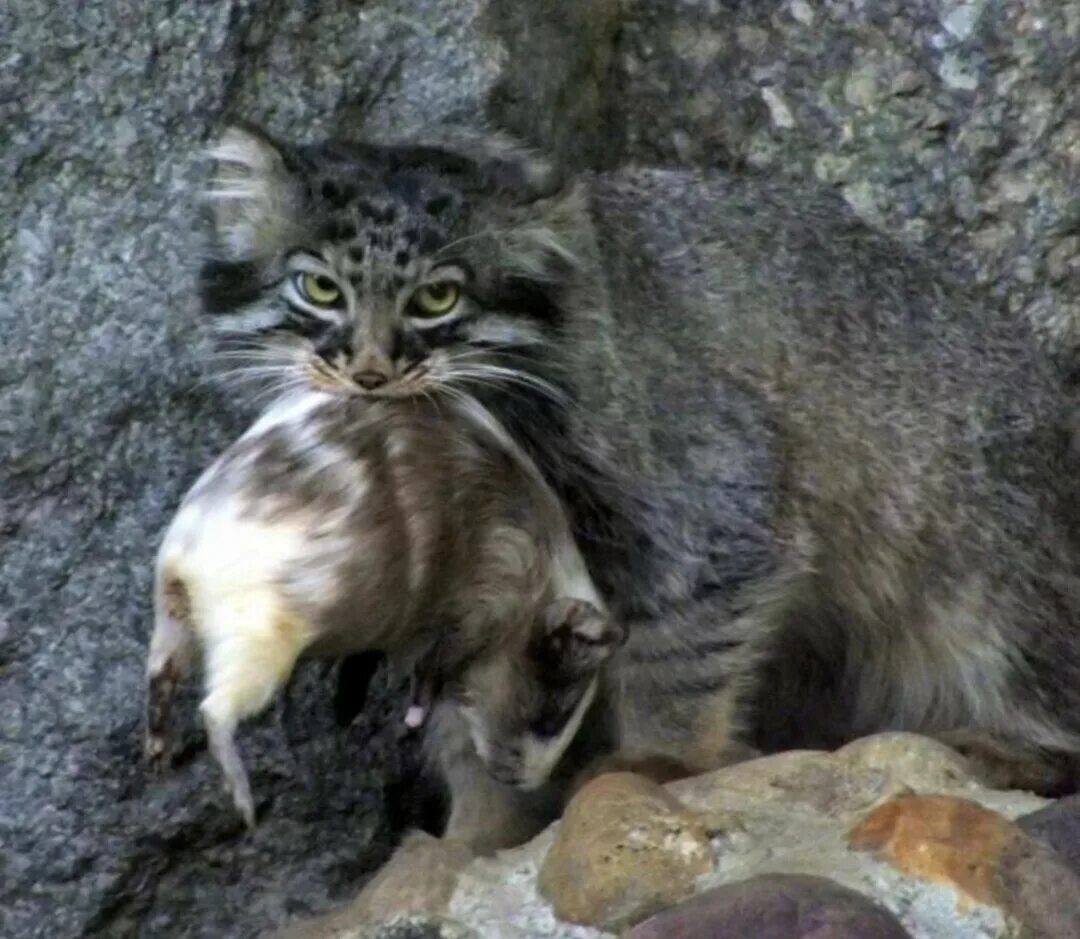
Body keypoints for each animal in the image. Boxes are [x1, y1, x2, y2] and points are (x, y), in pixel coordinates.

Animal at [193, 122, 1080, 800]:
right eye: (318, 288)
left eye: (438, 298)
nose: (370, 370)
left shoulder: (712, 506)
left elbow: (681, 649)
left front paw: (664, 756)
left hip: (994, 576)